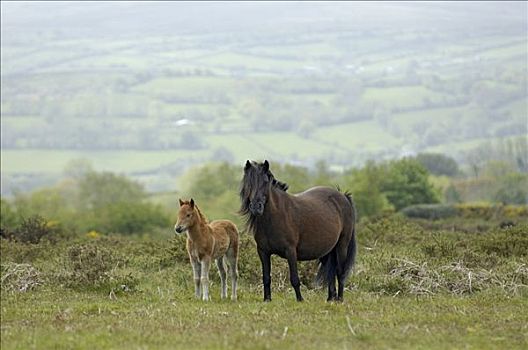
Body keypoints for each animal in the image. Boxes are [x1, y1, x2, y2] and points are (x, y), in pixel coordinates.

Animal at [241, 160, 356, 302]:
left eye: (265, 181)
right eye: (249, 182)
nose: (256, 207)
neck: (275, 217)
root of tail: (343, 196)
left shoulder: (290, 251)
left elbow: (295, 278)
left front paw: (300, 300)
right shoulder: (263, 252)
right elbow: (266, 277)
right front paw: (267, 299)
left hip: (342, 245)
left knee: (340, 271)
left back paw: (339, 299)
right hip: (327, 251)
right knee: (331, 271)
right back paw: (330, 299)